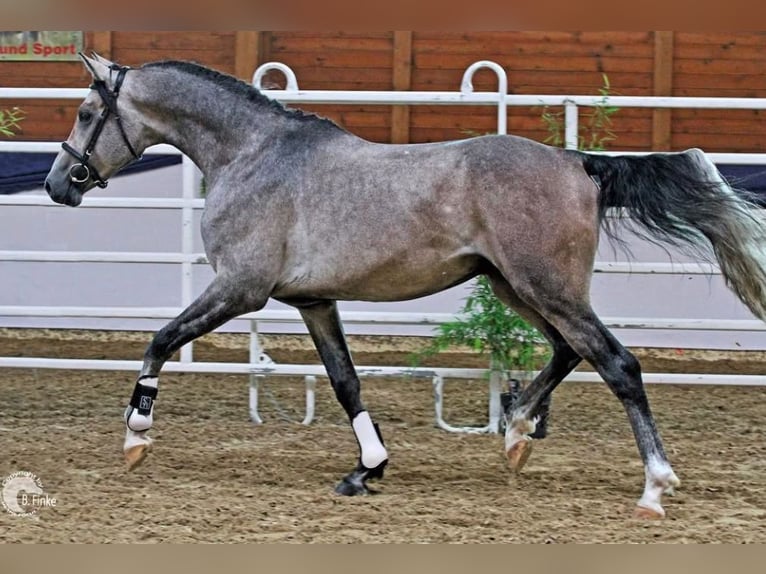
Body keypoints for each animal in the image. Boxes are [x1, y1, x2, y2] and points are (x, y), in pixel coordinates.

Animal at [43, 55, 766, 520]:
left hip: (544, 287)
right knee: (569, 352)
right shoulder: (313, 301)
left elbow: (160, 340)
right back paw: (514, 435)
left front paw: (136, 437)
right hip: (518, 287)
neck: (252, 155)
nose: (57, 185)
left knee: (618, 363)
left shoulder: (240, 288)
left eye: (85, 112)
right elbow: (345, 382)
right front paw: (367, 469)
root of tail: (577, 163)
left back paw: (653, 487)